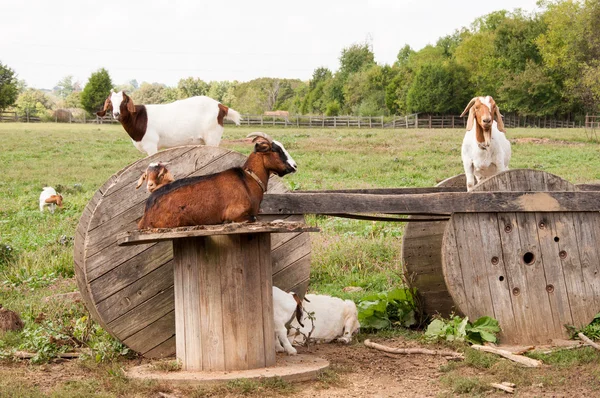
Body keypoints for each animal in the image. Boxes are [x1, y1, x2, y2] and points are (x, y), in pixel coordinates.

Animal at [96, 91, 241, 156]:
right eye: (110, 103)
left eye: (124, 101)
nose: (116, 114)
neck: (138, 118)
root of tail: (221, 106)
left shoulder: (151, 145)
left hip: (212, 136)